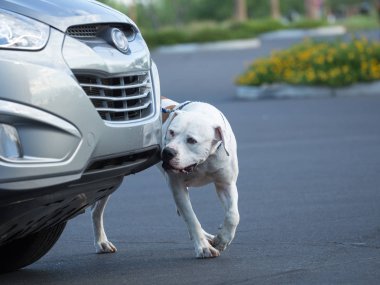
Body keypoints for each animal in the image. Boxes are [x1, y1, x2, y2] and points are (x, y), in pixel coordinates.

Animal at [90, 97, 239, 258]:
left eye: (192, 140)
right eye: (171, 132)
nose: (168, 152)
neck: (202, 162)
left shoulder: (226, 184)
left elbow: (233, 215)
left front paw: (223, 239)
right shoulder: (177, 187)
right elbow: (191, 218)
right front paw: (203, 247)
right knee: (96, 212)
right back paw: (101, 242)